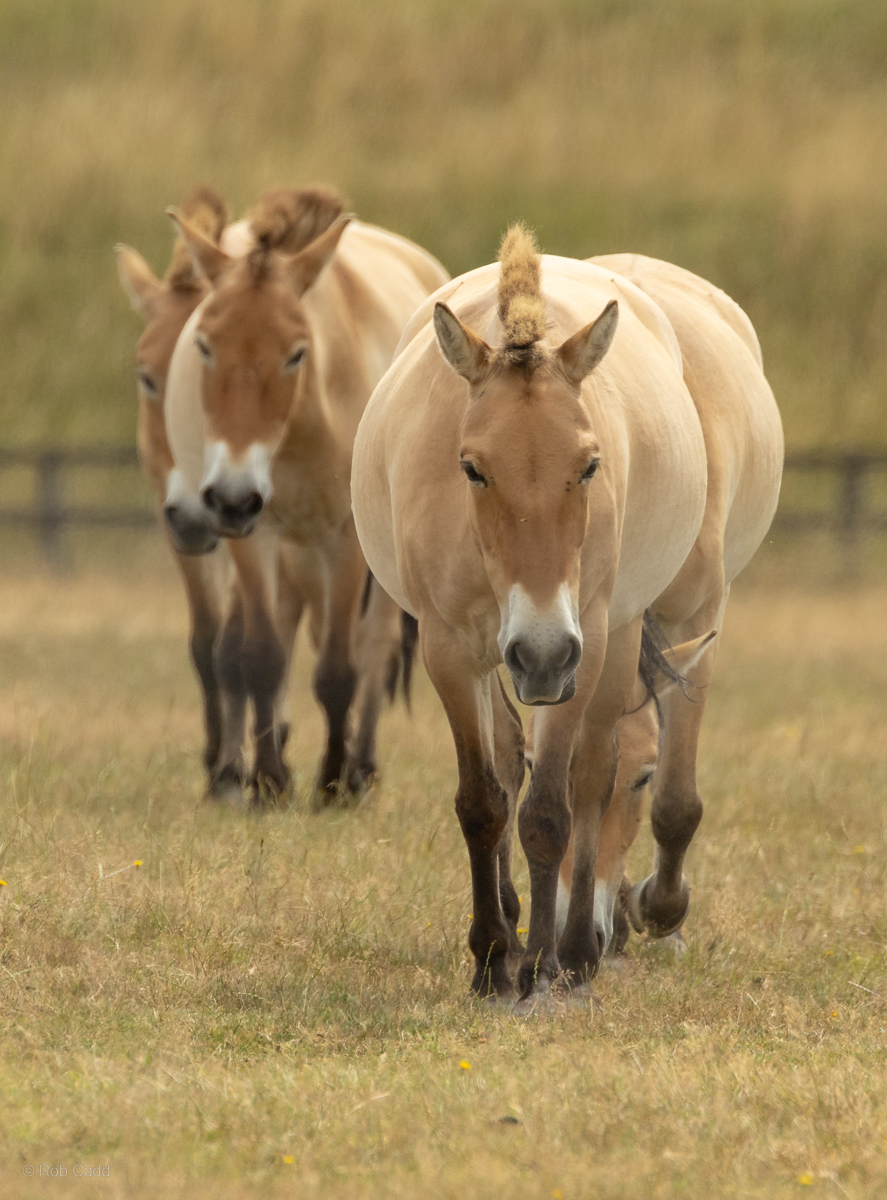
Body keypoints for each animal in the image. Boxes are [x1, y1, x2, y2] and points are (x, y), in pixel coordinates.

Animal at [164, 189, 450, 801]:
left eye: (296, 352)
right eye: (204, 345)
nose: (232, 494)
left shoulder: (344, 541)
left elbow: (340, 668)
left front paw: (333, 781)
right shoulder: (254, 535)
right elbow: (262, 656)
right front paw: (269, 781)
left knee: (373, 647)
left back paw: (359, 770)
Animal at [351, 225, 782, 997]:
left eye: (588, 465)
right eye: (471, 467)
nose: (542, 649)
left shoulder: (585, 647)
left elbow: (556, 807)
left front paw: (548, 961)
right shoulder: (451, 649)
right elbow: (485, 799)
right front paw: (493, 955)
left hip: (622, 634)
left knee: (587, 776)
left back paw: (577, 946)